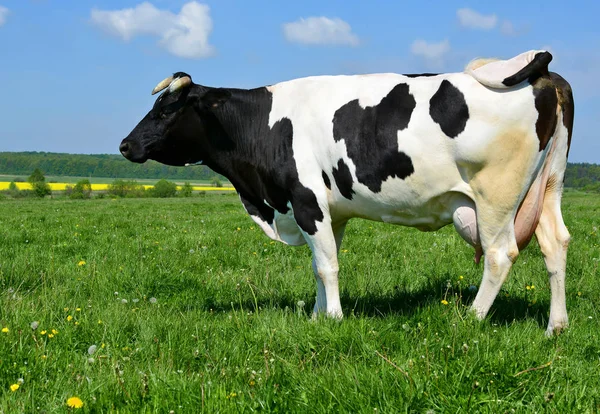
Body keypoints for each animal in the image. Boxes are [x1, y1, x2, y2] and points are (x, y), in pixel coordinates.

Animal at [119, 51, 576, 336]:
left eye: (167, 110)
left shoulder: (306, 201)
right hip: (548, 187)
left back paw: (471, 318)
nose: (125, 144)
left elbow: (327, 267)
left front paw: (334, 319)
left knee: (501, 254)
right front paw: (317, 316)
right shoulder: (328, 210)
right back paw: (556, 326)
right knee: (555, 243)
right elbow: (320, 263)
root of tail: (542, 72)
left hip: (496, 196)